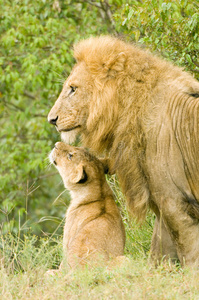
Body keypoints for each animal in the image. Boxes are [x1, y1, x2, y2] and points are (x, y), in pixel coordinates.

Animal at [47, 35, 199, 268]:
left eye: (73, 88)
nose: (51, 119)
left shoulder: (175, 200)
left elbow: (187, 249)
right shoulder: (162, 201)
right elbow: (160, 248)